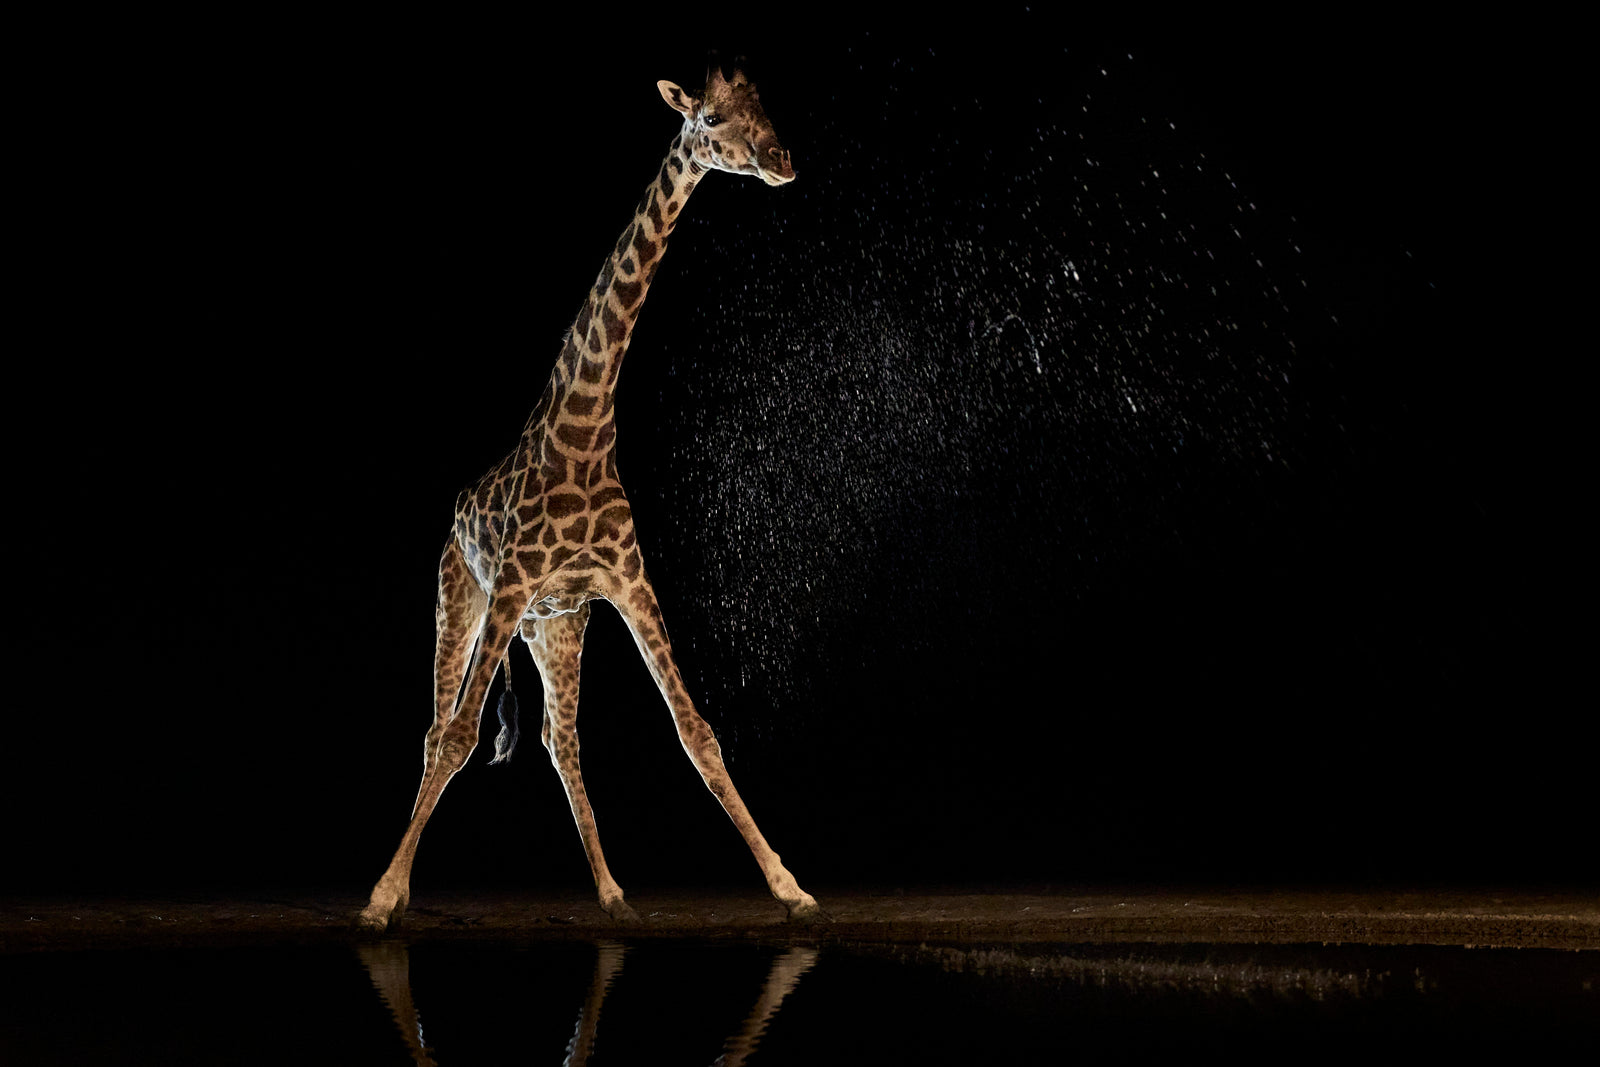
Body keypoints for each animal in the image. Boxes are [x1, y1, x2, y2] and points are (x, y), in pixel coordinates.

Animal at [357, 62, 819, 932]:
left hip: (558, 627)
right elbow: (459, 734)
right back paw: (398, 884)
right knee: (438, 725)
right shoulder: (509, 583)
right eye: (711, 118)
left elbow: (698, 730)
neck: (584, 431)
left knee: (557, 737)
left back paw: (611, 893)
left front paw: (790, 886)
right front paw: (380, 896)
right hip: (464, 597)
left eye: (765, 108)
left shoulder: (627, 584)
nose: (781, 161)